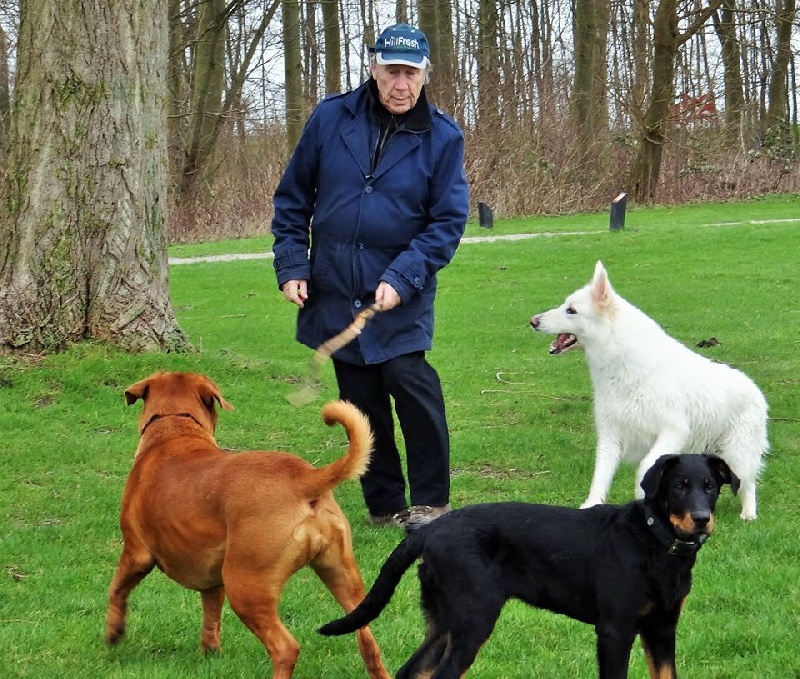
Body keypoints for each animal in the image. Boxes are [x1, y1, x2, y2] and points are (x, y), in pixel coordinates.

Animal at [104, 372, 392, 679]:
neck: (175, 427)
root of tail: (305, 477)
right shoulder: (213, 583)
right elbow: (211, 619)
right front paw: (210, 655)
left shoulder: (136, 554)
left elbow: (117, 590)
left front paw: (113, 632)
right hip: (344, 580)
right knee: (368, 644)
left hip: (246, 588)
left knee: (286, 648)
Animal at [318, 454, 736, 676]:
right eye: (679, 486)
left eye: (710, 486)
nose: (702, 519)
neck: (656, 544)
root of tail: (430, 530)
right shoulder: (615, 630)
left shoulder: (662, 628)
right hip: (473, 619)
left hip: (445, 619)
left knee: (415, 670)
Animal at [532, 262, 768, 520]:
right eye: (566, 306)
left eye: (571, 310)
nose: (533, 321)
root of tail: (756, 390)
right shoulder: (610, 436)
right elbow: (600, 477)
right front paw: (591, 505)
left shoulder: (672, 432)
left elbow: (645, 468)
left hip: (737, 453)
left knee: (748, 484)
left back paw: (748, 514)